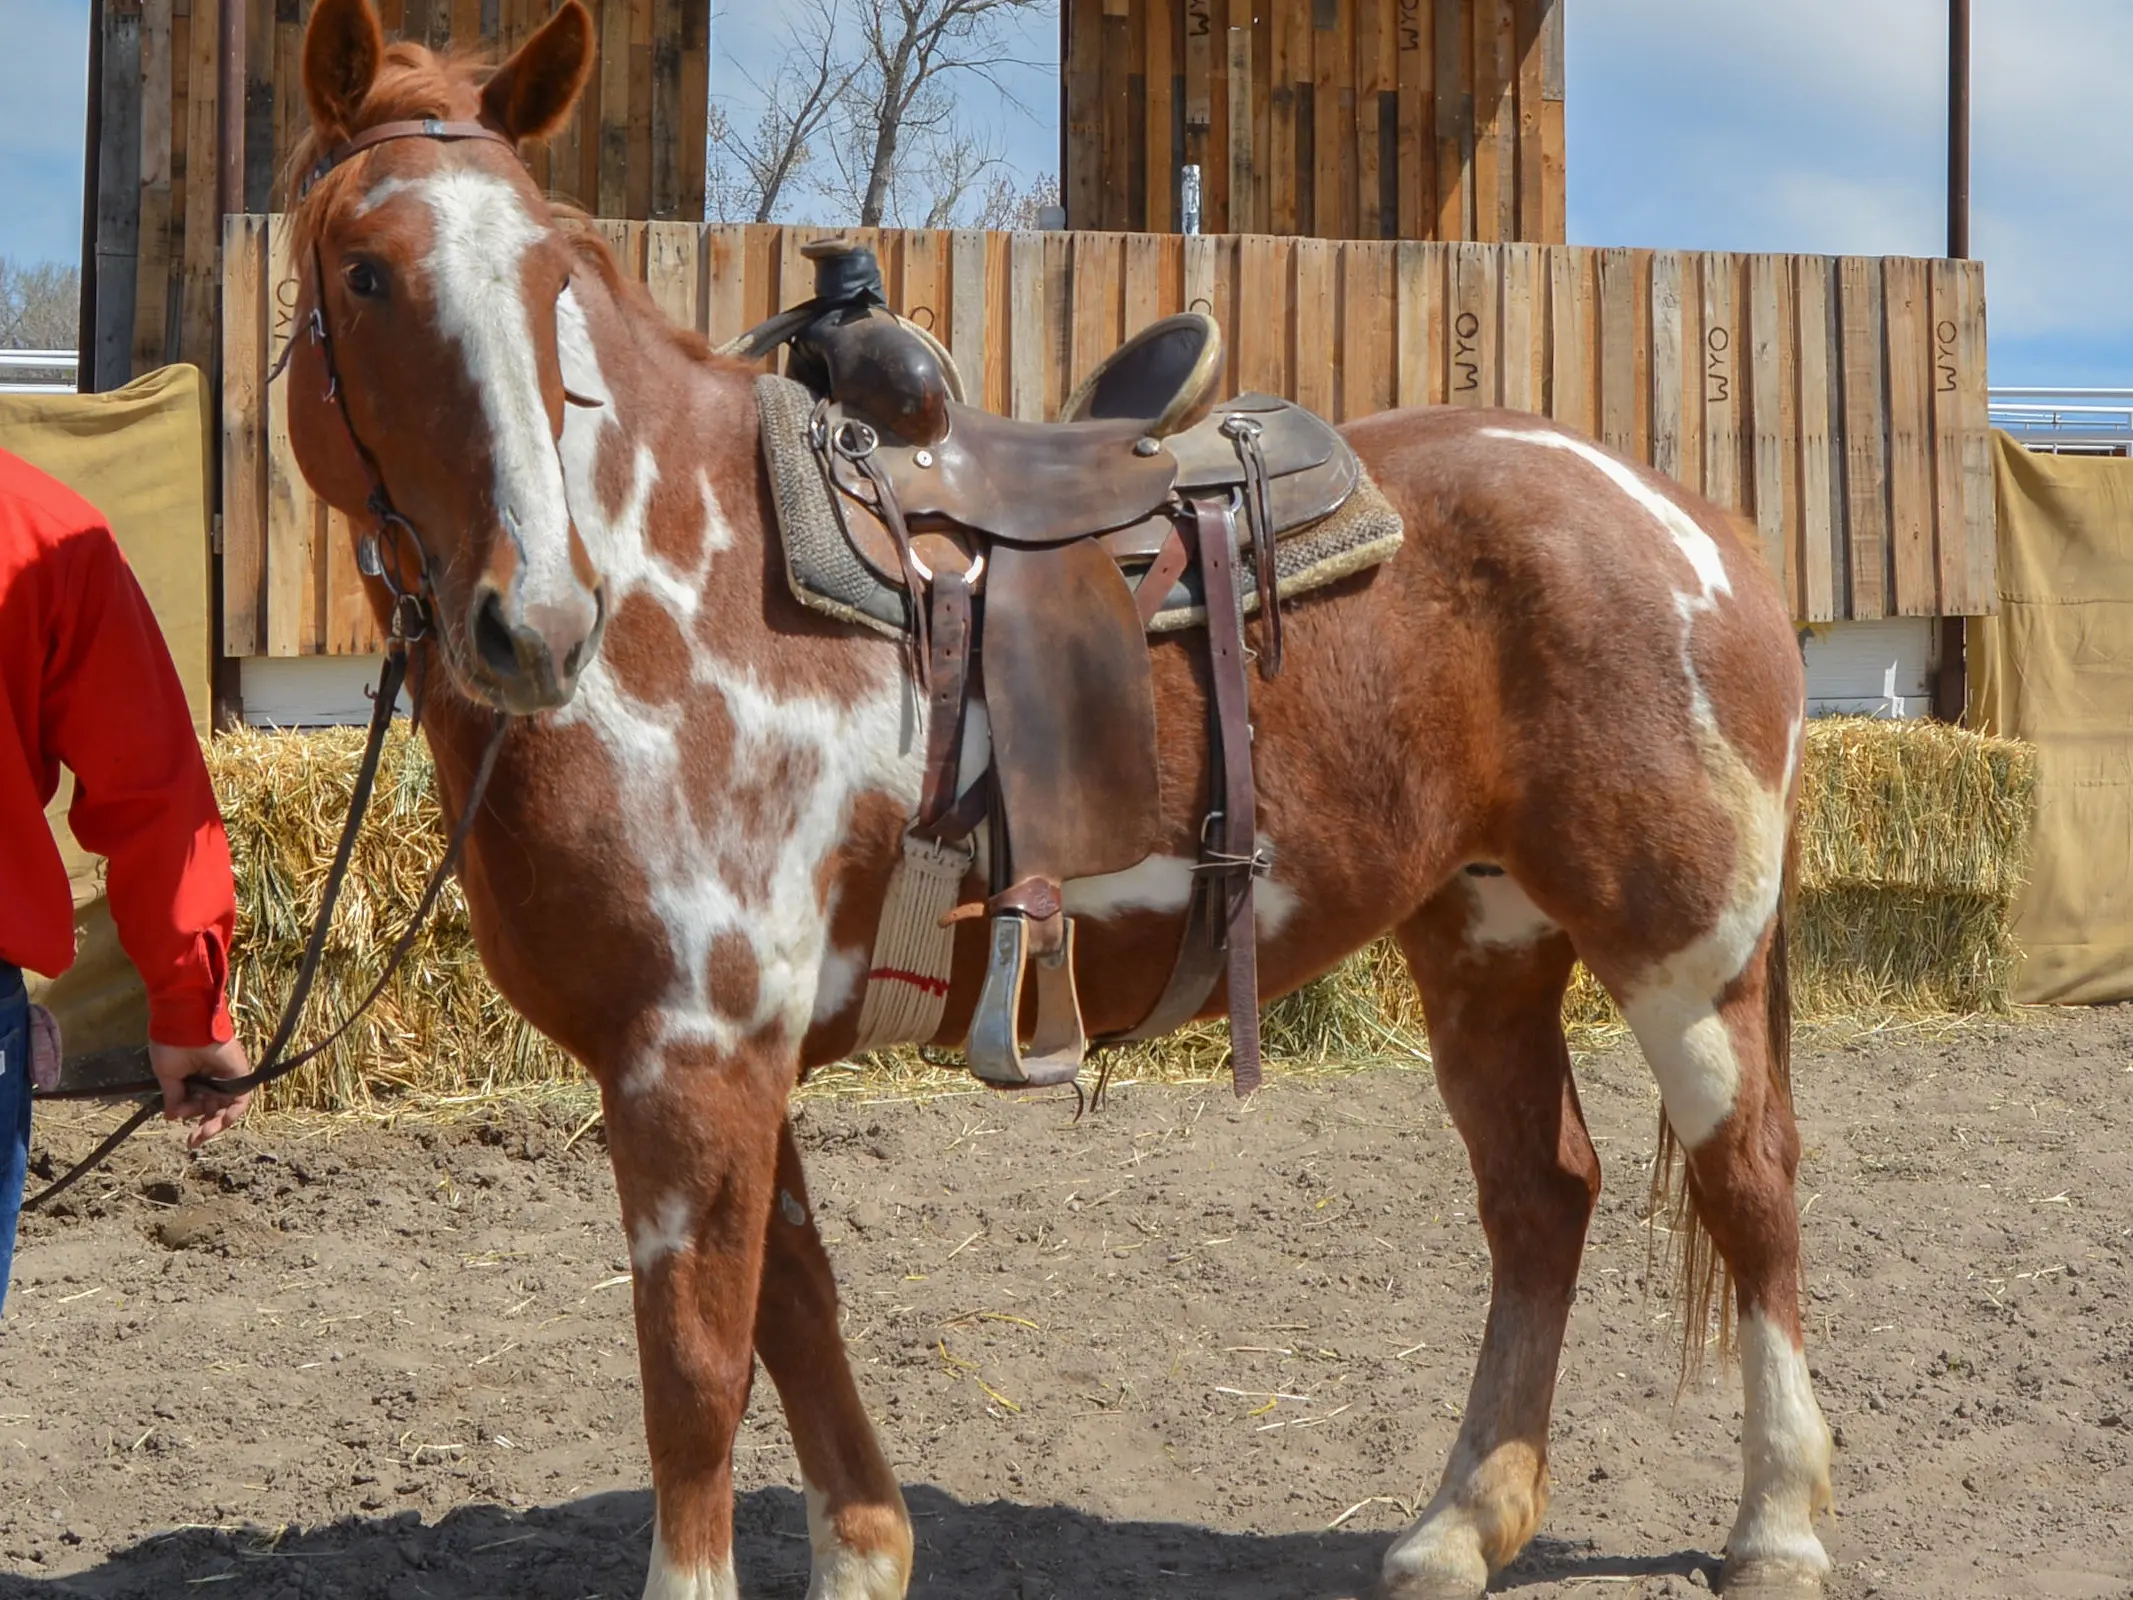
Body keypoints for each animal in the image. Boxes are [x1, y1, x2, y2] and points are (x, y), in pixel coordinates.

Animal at [279, 6, 1834, 1595]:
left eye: (551, 277)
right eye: (363, 269)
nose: (533, 621)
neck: (675, 580)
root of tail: (1694, 522)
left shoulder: (692, 1056)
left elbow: (698, 1376)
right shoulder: (726, 1058)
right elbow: (796, 1308)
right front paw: (864, 1553)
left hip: (1683, 948)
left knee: (1752, 1185)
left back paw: (1776, 1525)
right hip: (1486, 939)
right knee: (1543, 1196)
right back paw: (1461, 1525)